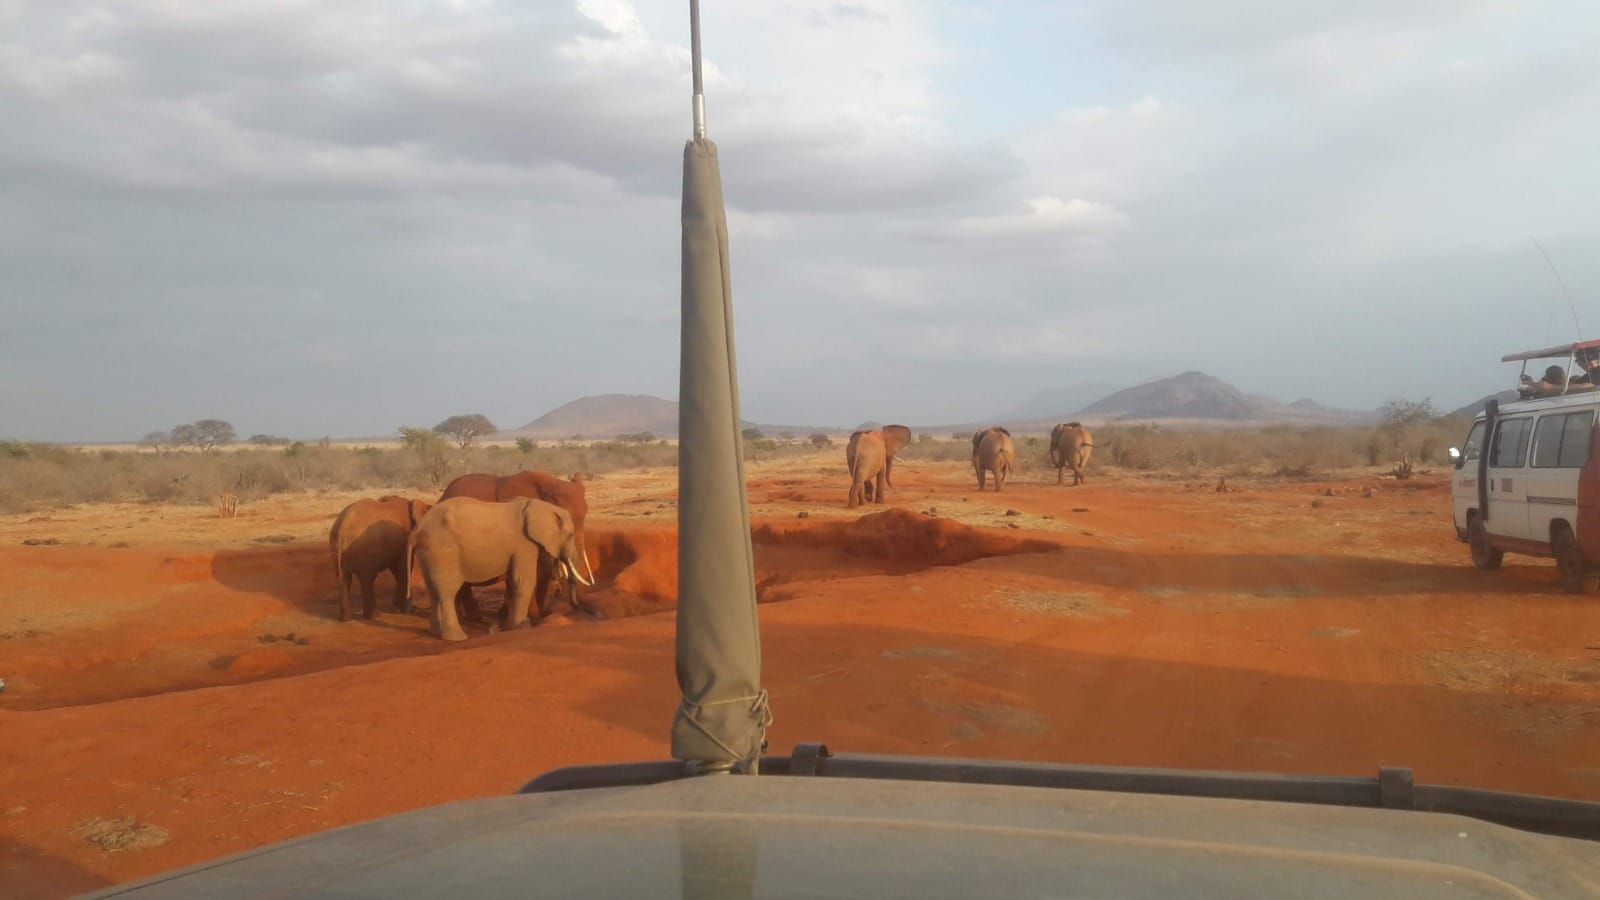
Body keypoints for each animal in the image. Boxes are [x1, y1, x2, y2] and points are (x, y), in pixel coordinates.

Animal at [407, 496, 592, 642]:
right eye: (570, 535)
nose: (580, 609)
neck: (538, 505)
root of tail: (416, 530)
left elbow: (514, 580)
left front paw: (509, 627)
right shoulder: (524, 544)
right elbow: (523, 581)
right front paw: (519, 628)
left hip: (428, 552)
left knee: (432, 589)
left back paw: (435, 632)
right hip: (443, 550)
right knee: (447, 591)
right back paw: (456, 638)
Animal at [438, 470, 595, 622]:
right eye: (562, 524)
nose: (558, 591)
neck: (552, 483)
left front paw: (544, 614)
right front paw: (535, 620)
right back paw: (474, 619)